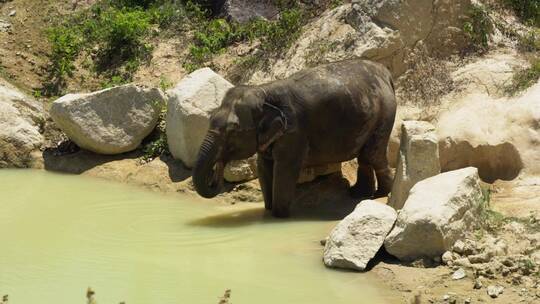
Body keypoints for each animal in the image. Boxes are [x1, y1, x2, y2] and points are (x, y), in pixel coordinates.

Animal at [192, 58, 394, 217]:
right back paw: (359, 194)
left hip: (384, 114)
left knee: (373, 155)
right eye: (211, 118)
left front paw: (278, 216)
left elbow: (284, 170)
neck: (264, 91)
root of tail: (385, 72)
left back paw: (380, 194)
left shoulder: (294, 132)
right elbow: (264, 168)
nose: (216, 173)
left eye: (233, 130)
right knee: (365, 157)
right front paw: (268, 211)